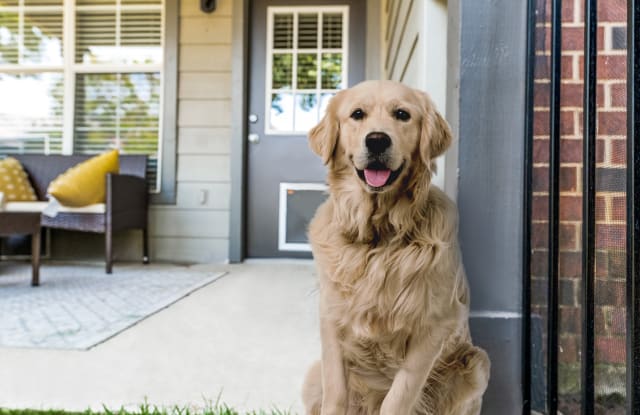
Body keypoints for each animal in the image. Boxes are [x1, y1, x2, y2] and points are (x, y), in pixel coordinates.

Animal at [300, 81, 490, 415]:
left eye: (402, 114)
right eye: (357, 114)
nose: (377, 140)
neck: (378, 235)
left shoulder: (434, 326)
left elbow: (399, 395)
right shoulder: (332, 318)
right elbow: (335, 393)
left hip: (477, 364)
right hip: (312, 377)